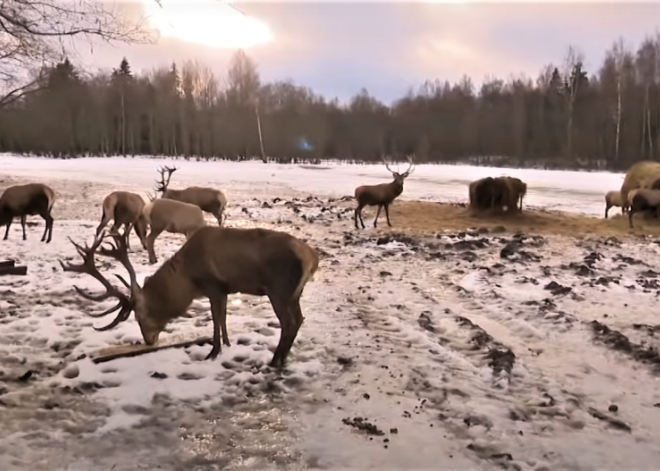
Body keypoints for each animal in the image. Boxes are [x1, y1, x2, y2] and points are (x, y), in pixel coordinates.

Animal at [58, 227, 320, 370]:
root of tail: (312, 257)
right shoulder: (224, 290)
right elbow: (223, 320)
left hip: (279, 289)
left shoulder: (213, 286)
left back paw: (275, 360)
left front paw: (212, 353)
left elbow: (216, 320)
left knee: (289, 322)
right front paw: (227, 345)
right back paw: (282, 358)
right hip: (293, 293)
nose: (149, 341)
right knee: (299, 319)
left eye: (140, 316)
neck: (188, 279)